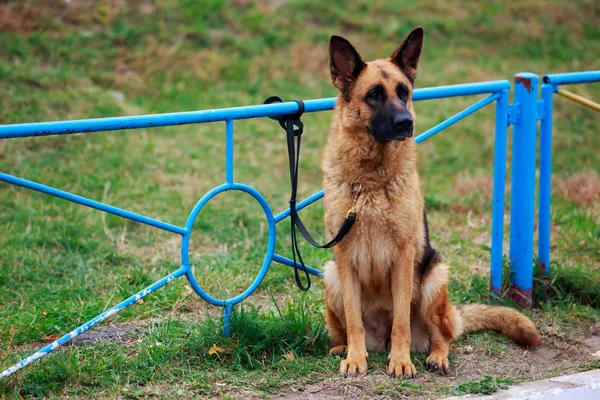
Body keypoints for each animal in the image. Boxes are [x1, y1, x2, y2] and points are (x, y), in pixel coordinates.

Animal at [322, 27, 540, 378]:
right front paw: (355, 358)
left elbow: (400, 321)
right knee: (349, 326)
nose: (405, 122)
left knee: (442, 336)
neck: (371, 181)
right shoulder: (343, 258)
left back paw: (436, 357)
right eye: (374, 95)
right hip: (332, 279)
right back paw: (344, 348)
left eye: (404, 92)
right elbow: (355, 321)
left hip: (434, 280)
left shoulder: (403, 257)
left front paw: (400, 361)